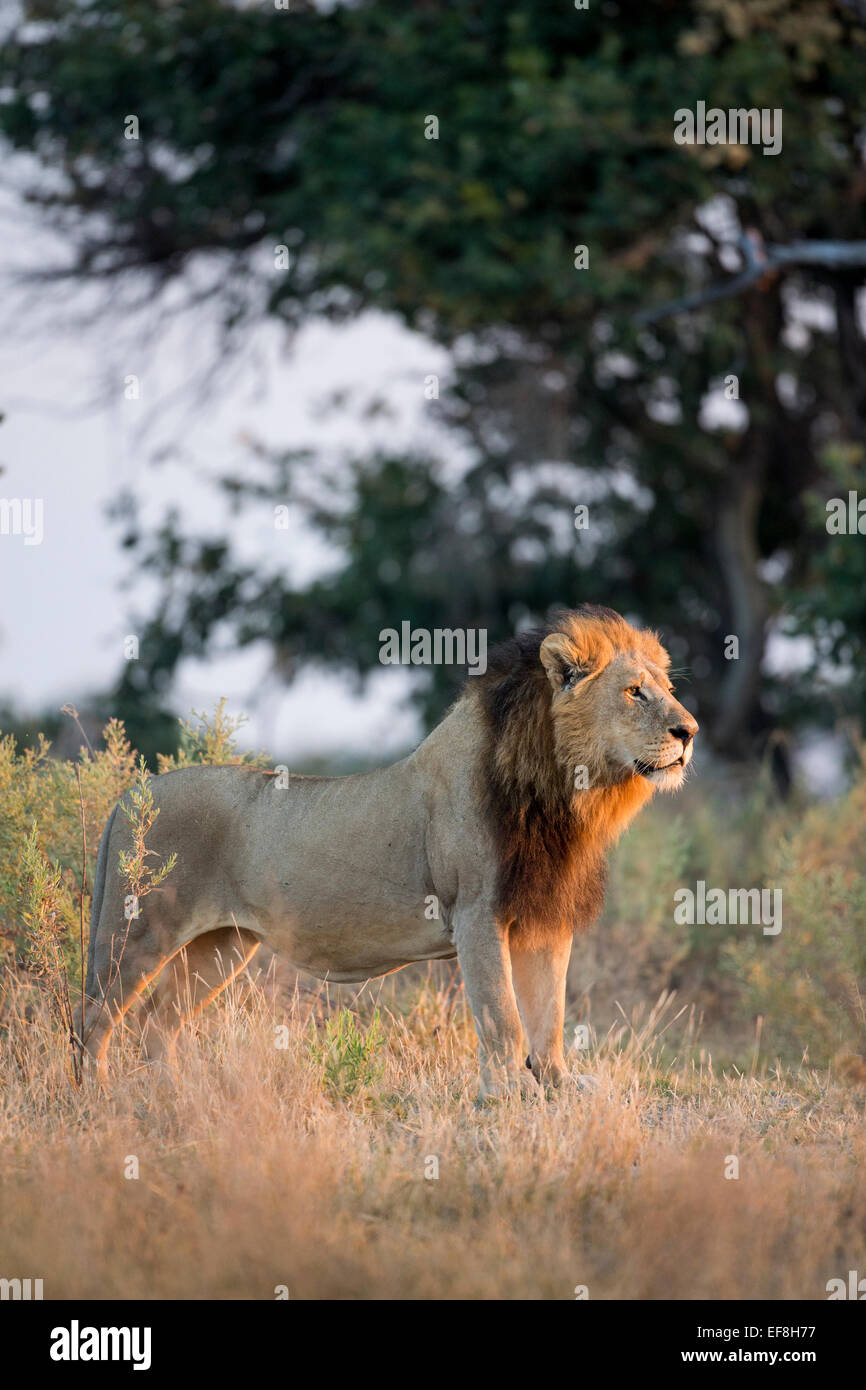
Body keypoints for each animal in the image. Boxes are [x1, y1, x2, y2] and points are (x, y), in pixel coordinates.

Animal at [77, 605, 697, 1096]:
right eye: (634, 692)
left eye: (668, 689)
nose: (689, 731)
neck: (564, 793)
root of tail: (128, 796)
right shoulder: (477, 913)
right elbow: (503, 1017)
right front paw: (507, 1097)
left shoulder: (544, 917)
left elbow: (550, 1015)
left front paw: (559, 1086)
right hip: (139, 933)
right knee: (94, 1017)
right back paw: (98, 1098)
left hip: (222, 947)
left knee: (158, 1024)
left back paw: (173, 1095)